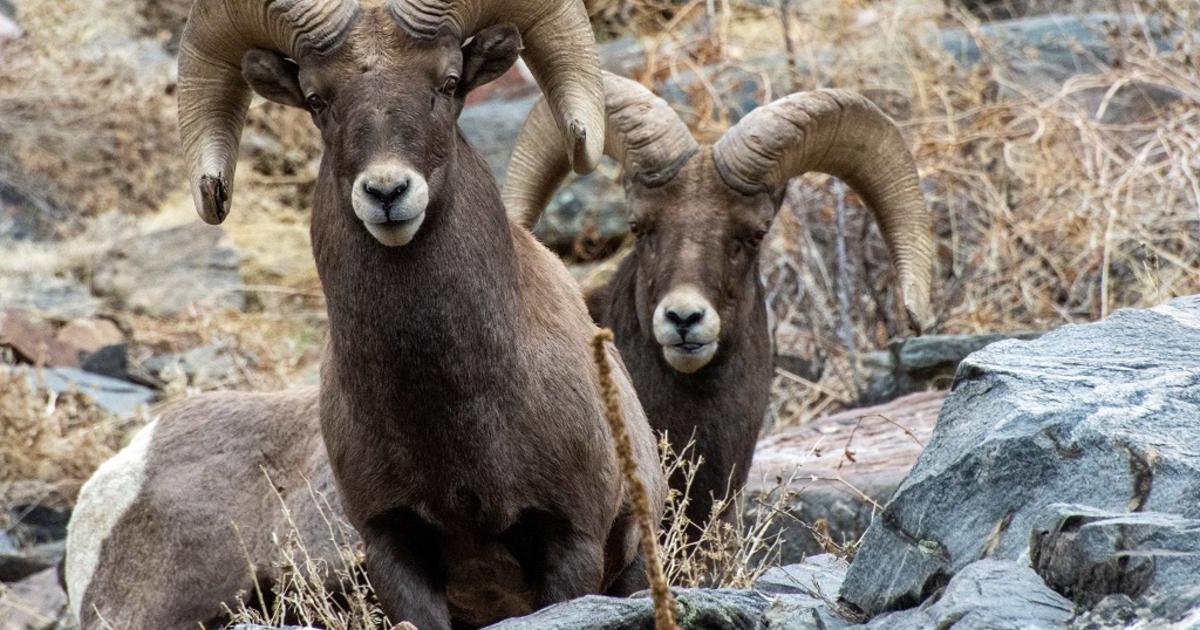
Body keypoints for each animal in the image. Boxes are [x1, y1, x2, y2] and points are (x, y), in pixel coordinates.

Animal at [63, 2, 667, 624]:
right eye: (317, 99)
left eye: (449, 83)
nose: (387, 193)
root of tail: (121, 472)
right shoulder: (394, 551)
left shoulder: (570, 545)